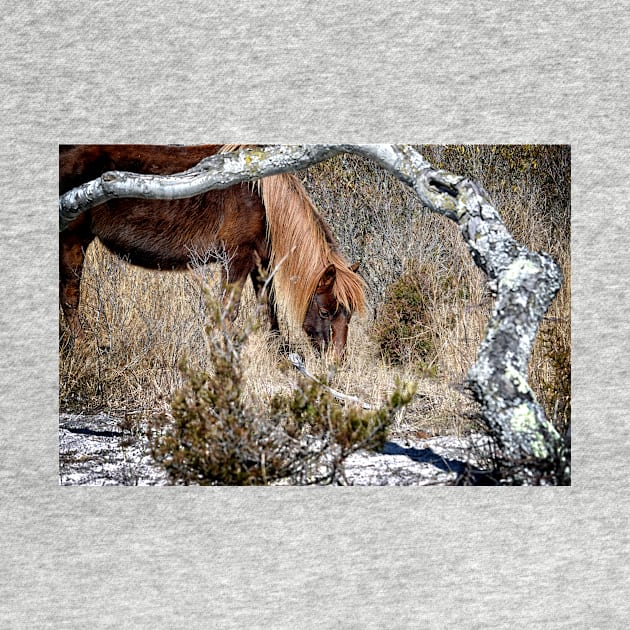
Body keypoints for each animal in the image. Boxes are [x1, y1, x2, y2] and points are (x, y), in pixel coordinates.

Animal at [60, 144, 366, 360]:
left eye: (349, 315)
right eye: (325, 312)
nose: (337, 363)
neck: (262, 200)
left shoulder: (260, 264)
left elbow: (269, 312)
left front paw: (279, 357)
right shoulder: (236, 259)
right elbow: (229, 312)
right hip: (72, 240)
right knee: (70, 298)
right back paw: (83, 349)